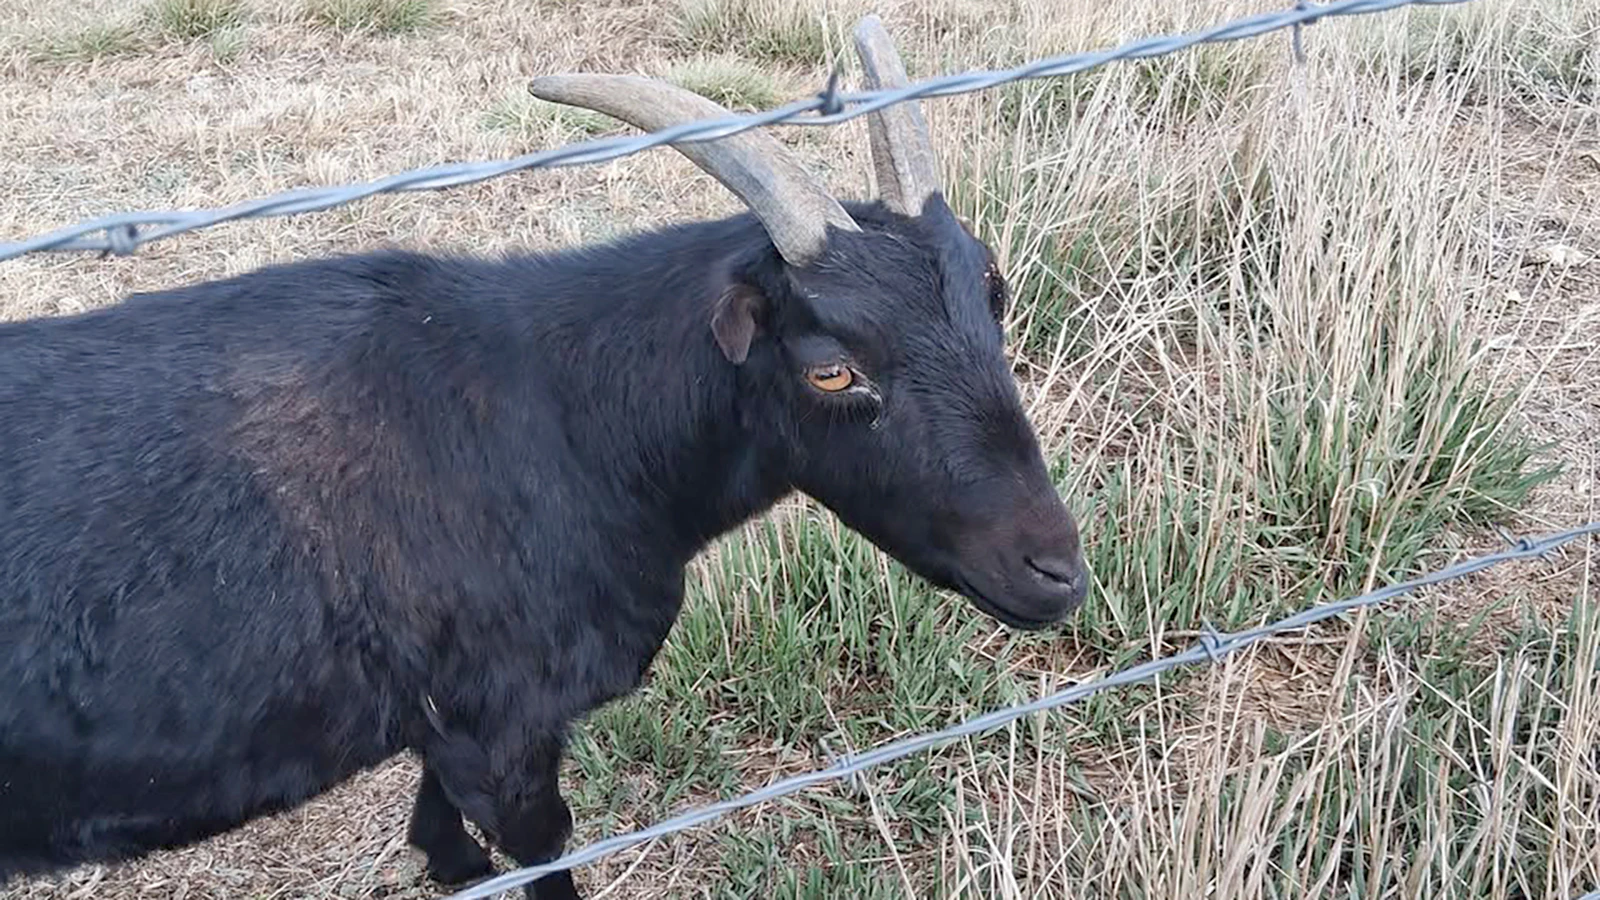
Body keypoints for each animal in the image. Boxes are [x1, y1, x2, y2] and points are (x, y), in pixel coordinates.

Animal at [0, 17, 1088, 900]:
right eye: (831, 370)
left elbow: (441, 803)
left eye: (992, 295)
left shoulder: (452, 715)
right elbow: (540, 843)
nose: (1055, 571)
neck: (569, 418)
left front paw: (446, 864)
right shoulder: (505, 725)